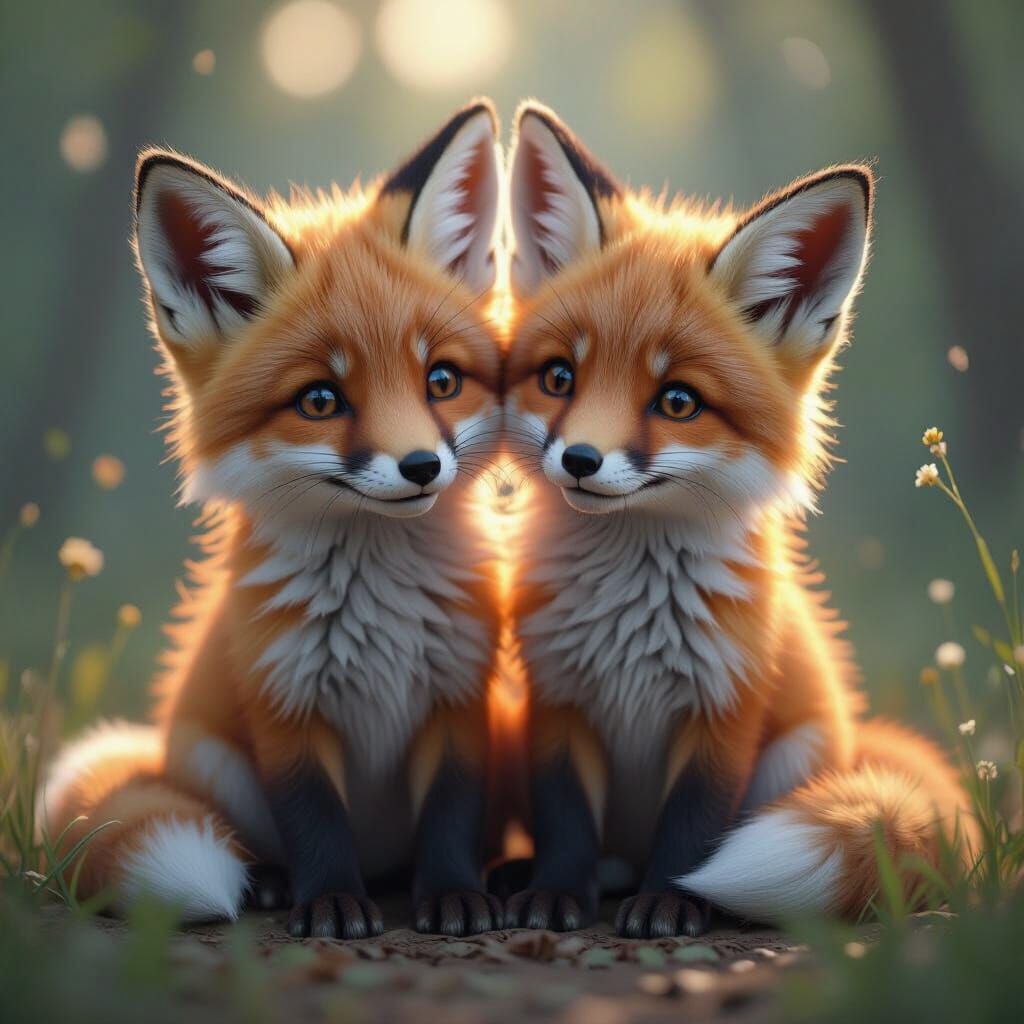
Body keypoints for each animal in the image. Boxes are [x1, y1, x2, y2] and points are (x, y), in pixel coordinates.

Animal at [40, 101, 508, 938]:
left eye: (442, 381)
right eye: (320, 400)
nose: (422, 467)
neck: (382, 608)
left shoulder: (460, 695)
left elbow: (452, 810)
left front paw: (454, 893)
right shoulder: (283, 705)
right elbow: (312, 818)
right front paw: (329, 904)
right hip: (213, 757)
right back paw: (269, 882)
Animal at [502, 101, 973, 938]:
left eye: (677, 401)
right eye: (559, 377)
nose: (580, 459)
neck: (628, 611)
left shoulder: (725, 711)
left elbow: (696, 829)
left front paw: (672, 901)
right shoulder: (557, 702)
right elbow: (564, 820)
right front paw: (556, 892)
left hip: (794, 752)